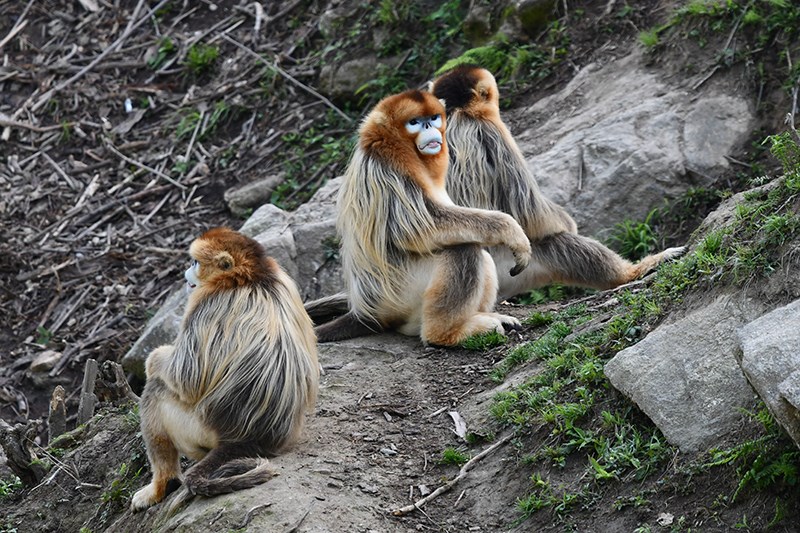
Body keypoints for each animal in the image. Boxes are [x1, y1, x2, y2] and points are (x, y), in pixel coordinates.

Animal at [131, 225, 318, 512]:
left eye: (194, 262)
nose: (186, 273)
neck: (252, 275)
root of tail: (248, 439)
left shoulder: (207, 301)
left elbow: (186, 378)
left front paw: (153, 360)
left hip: (198, 427)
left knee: (156, 389)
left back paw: (162, 484)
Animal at [310, 88, 532, 344]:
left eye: (433, 118)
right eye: (414, 122)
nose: (428, 127)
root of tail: (365, 312)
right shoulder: (389, 170)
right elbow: (420, 229)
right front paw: (513, 232)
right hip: (398, 296)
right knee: (463, 249)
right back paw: (446, 334)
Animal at [428, 65, 684, 300]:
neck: (453, 111)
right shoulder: (492, 130)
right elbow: (532, 213)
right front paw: (568, 223)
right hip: (507, 265)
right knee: (556, 241)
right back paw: (633, 271)